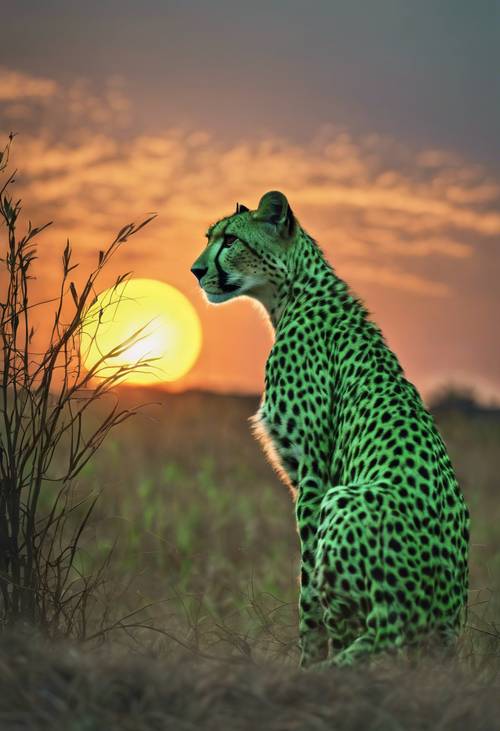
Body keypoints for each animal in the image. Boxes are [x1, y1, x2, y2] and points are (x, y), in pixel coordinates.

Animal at [190, 190, 468, 668]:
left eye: (229, 240)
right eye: (209, 237)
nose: (195, 270)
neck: (292, 293)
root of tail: (444, 631)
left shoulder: (314, 476)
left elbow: (307, 583)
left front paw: (309, 657)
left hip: (347, 499)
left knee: (384, 634)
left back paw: (330, 668)